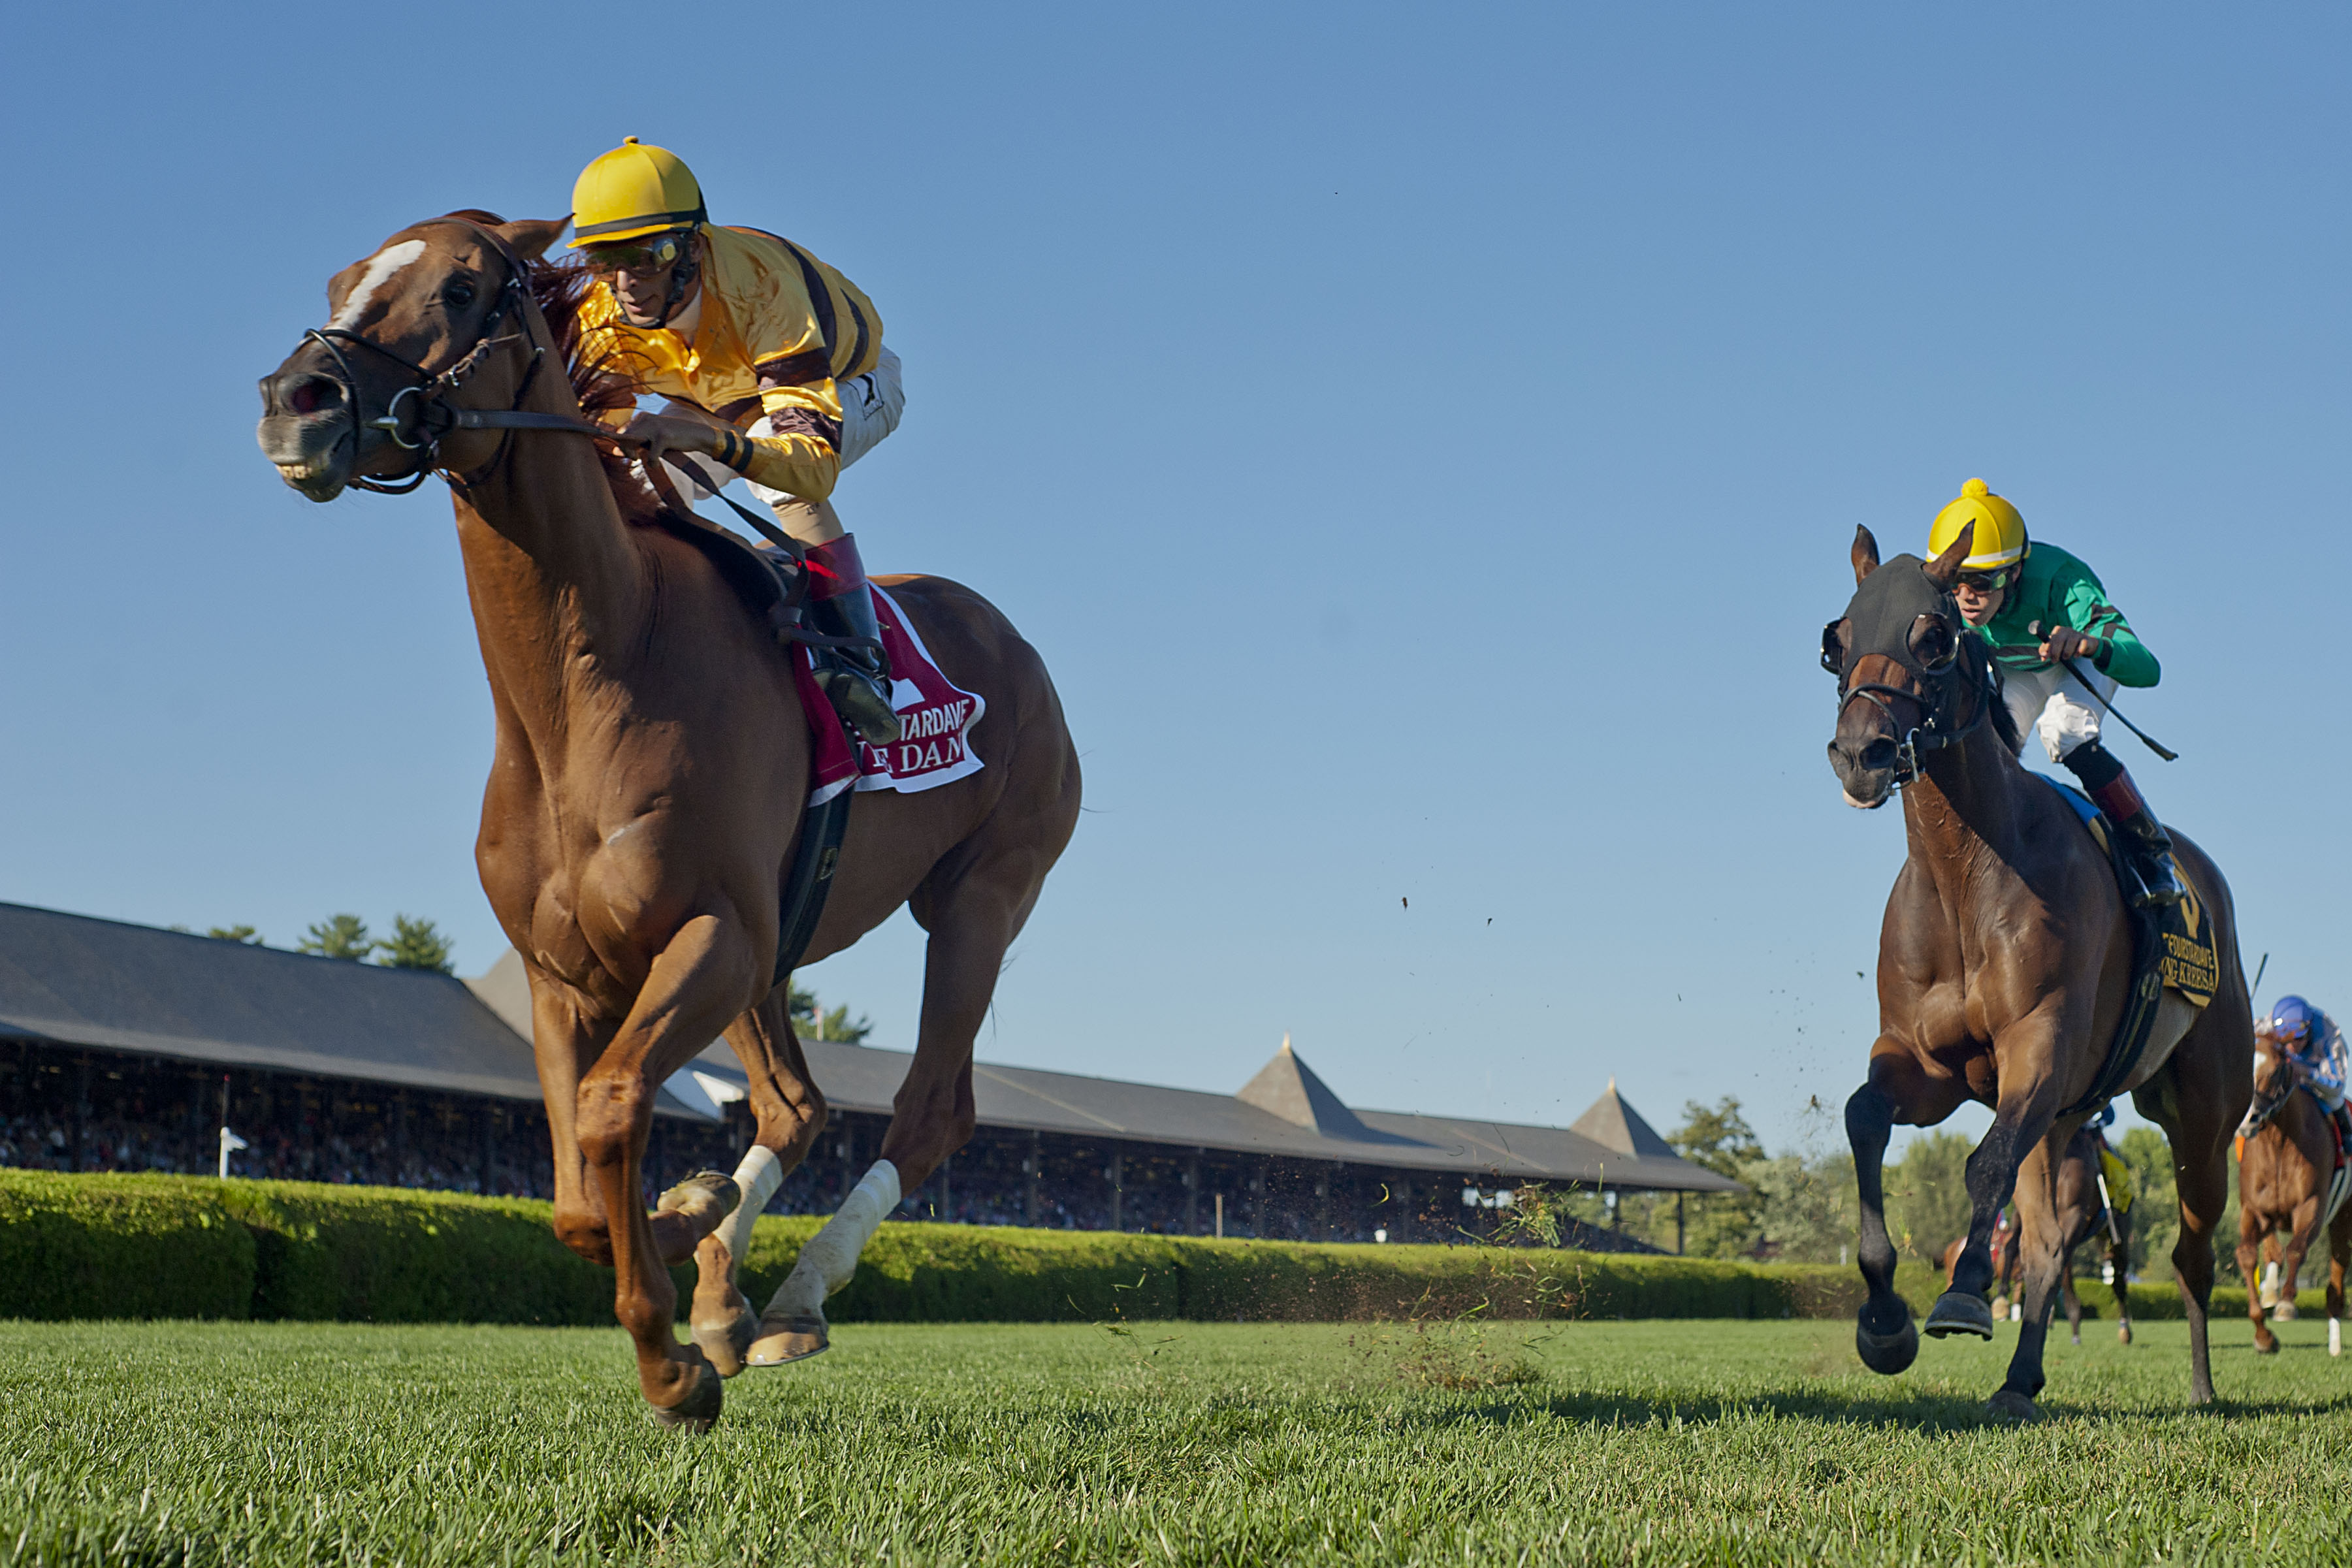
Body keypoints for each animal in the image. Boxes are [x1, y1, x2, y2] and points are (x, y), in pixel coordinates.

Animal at [253, 217, 1077, 1439]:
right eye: (343, 281)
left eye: (460, 287)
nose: (294, 399)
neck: (591, 679)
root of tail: (1013, 643)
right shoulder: (565, 974)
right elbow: (572, 1197)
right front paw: (685, 1256)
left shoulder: (710, 931)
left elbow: (608, 1114)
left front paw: (673, 1358)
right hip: (780, 945)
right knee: (795, 1107)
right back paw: (734, 1298)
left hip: (980, 897)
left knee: (928, 1110)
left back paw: (792, 1296)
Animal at [1815, 531, 2239, 1420]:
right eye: (1835, 639)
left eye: (1933, 636)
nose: (1860, 754)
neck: (1965, 876)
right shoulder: (1928, 1066)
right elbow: (1864, 1118)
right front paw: (1884, 1322)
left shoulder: (2038, 1051)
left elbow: (1984, 1166)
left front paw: (1963, 1293)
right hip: (2067, 1121)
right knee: (2047, 1244)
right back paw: (2018, 1382)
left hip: (2203, 1120)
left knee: (2191, 1250)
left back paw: (2200, 1385)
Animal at [2229, 1034, 2342, 1354]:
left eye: (2276, 1070)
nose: (2247, 1119)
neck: (2279, 1142)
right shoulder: (2254, 1210)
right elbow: (2247, 1255)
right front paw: (2263, 1336)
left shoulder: (2312, 1205)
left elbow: (2296, 1249)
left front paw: (2286, 1305)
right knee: (2272, 1252)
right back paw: (2269, 1291)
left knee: (2337, 1274)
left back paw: (2335, 1344)